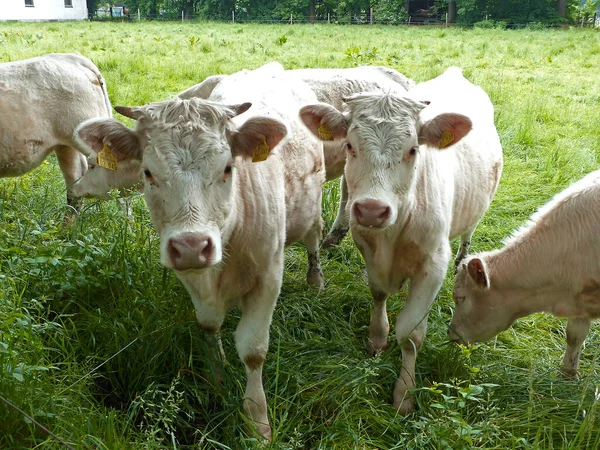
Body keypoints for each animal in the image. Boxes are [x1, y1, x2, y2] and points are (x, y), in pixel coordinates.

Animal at [72, 61, 326, 438]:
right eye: (148, 172)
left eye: (228, 168)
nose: (192, 246)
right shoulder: (190, 277)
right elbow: (208, 326)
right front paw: (217, 380)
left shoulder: (269, 276)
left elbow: (253, 350)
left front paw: (257, 420)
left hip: (314, 207)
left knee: (313, 240)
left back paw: (315, 280)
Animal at [300, 67, 502, 414]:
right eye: (350, 145)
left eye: (413, 150)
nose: (371, 209)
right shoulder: (367, 249)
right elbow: (378, 293)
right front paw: (377, 338)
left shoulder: (433, 265)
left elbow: (410, 334)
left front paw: (404, 393)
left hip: (475, 213)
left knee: (467, 235)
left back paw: (463, 260)